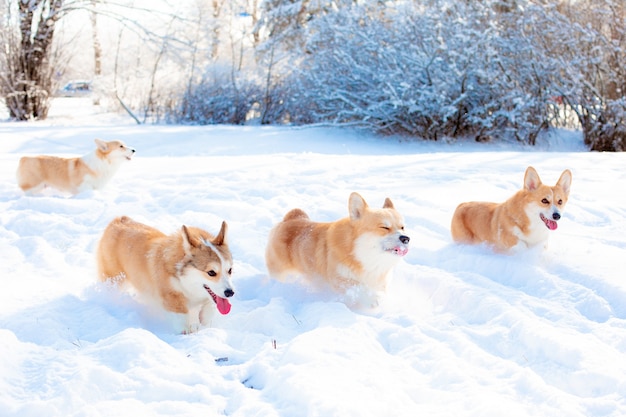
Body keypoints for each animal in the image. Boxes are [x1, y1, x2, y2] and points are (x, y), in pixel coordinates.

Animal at [95, 216, 234, 334]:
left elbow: (210, 304)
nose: (230, 293)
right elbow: (180, 313)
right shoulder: (170, 294)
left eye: (230, 270)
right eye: (211, 272)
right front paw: (186, 330)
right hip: (113, 279)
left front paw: (204, 320)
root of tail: (119, 220)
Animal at [264, 193, 408, 308]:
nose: (406, 238)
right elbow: (358, 290)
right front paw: (372, 300)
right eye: (384, 227)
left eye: (402, 227)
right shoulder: (341, 281)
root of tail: (291, 218)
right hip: (280, 272)